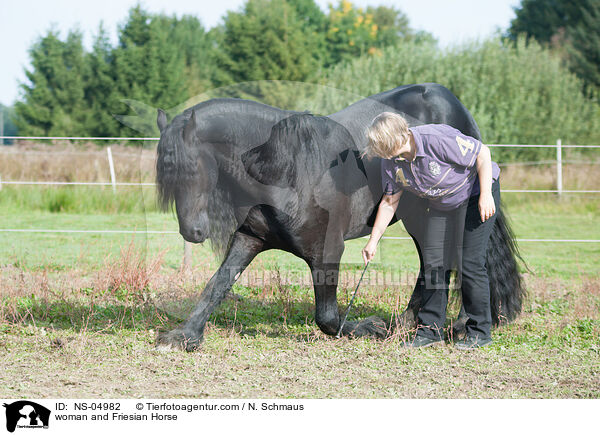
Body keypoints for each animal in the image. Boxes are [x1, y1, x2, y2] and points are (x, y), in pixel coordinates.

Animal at [155, 83, 524, 352]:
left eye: (190, 170)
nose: (192, 232)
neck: (287, 167)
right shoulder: (250, 239)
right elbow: (216, 285)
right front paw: (185, 336)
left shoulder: (328, 250)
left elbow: (328, 318)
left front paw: (369, 326)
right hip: (422, 217)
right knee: (435, 265)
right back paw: (408, 322)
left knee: (464, 261)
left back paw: (459, 326)